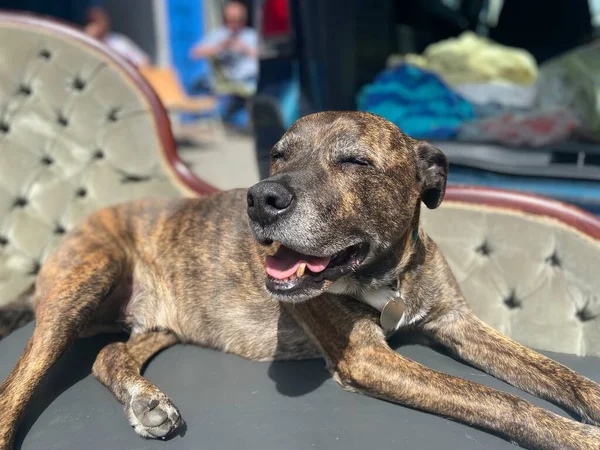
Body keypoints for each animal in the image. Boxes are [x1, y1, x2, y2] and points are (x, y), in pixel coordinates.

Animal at [1, 110, 600, 448]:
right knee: (17, 385)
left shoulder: (457, 322)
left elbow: (562, 377)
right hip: (86, 282)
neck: (388, 278)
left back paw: (145, 400)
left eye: (355, 162)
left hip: (160, 324)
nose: (260, 197)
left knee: (109, 355)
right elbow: (502, 400)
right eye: (276, 155)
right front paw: (579, 437)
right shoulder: (369, 358)